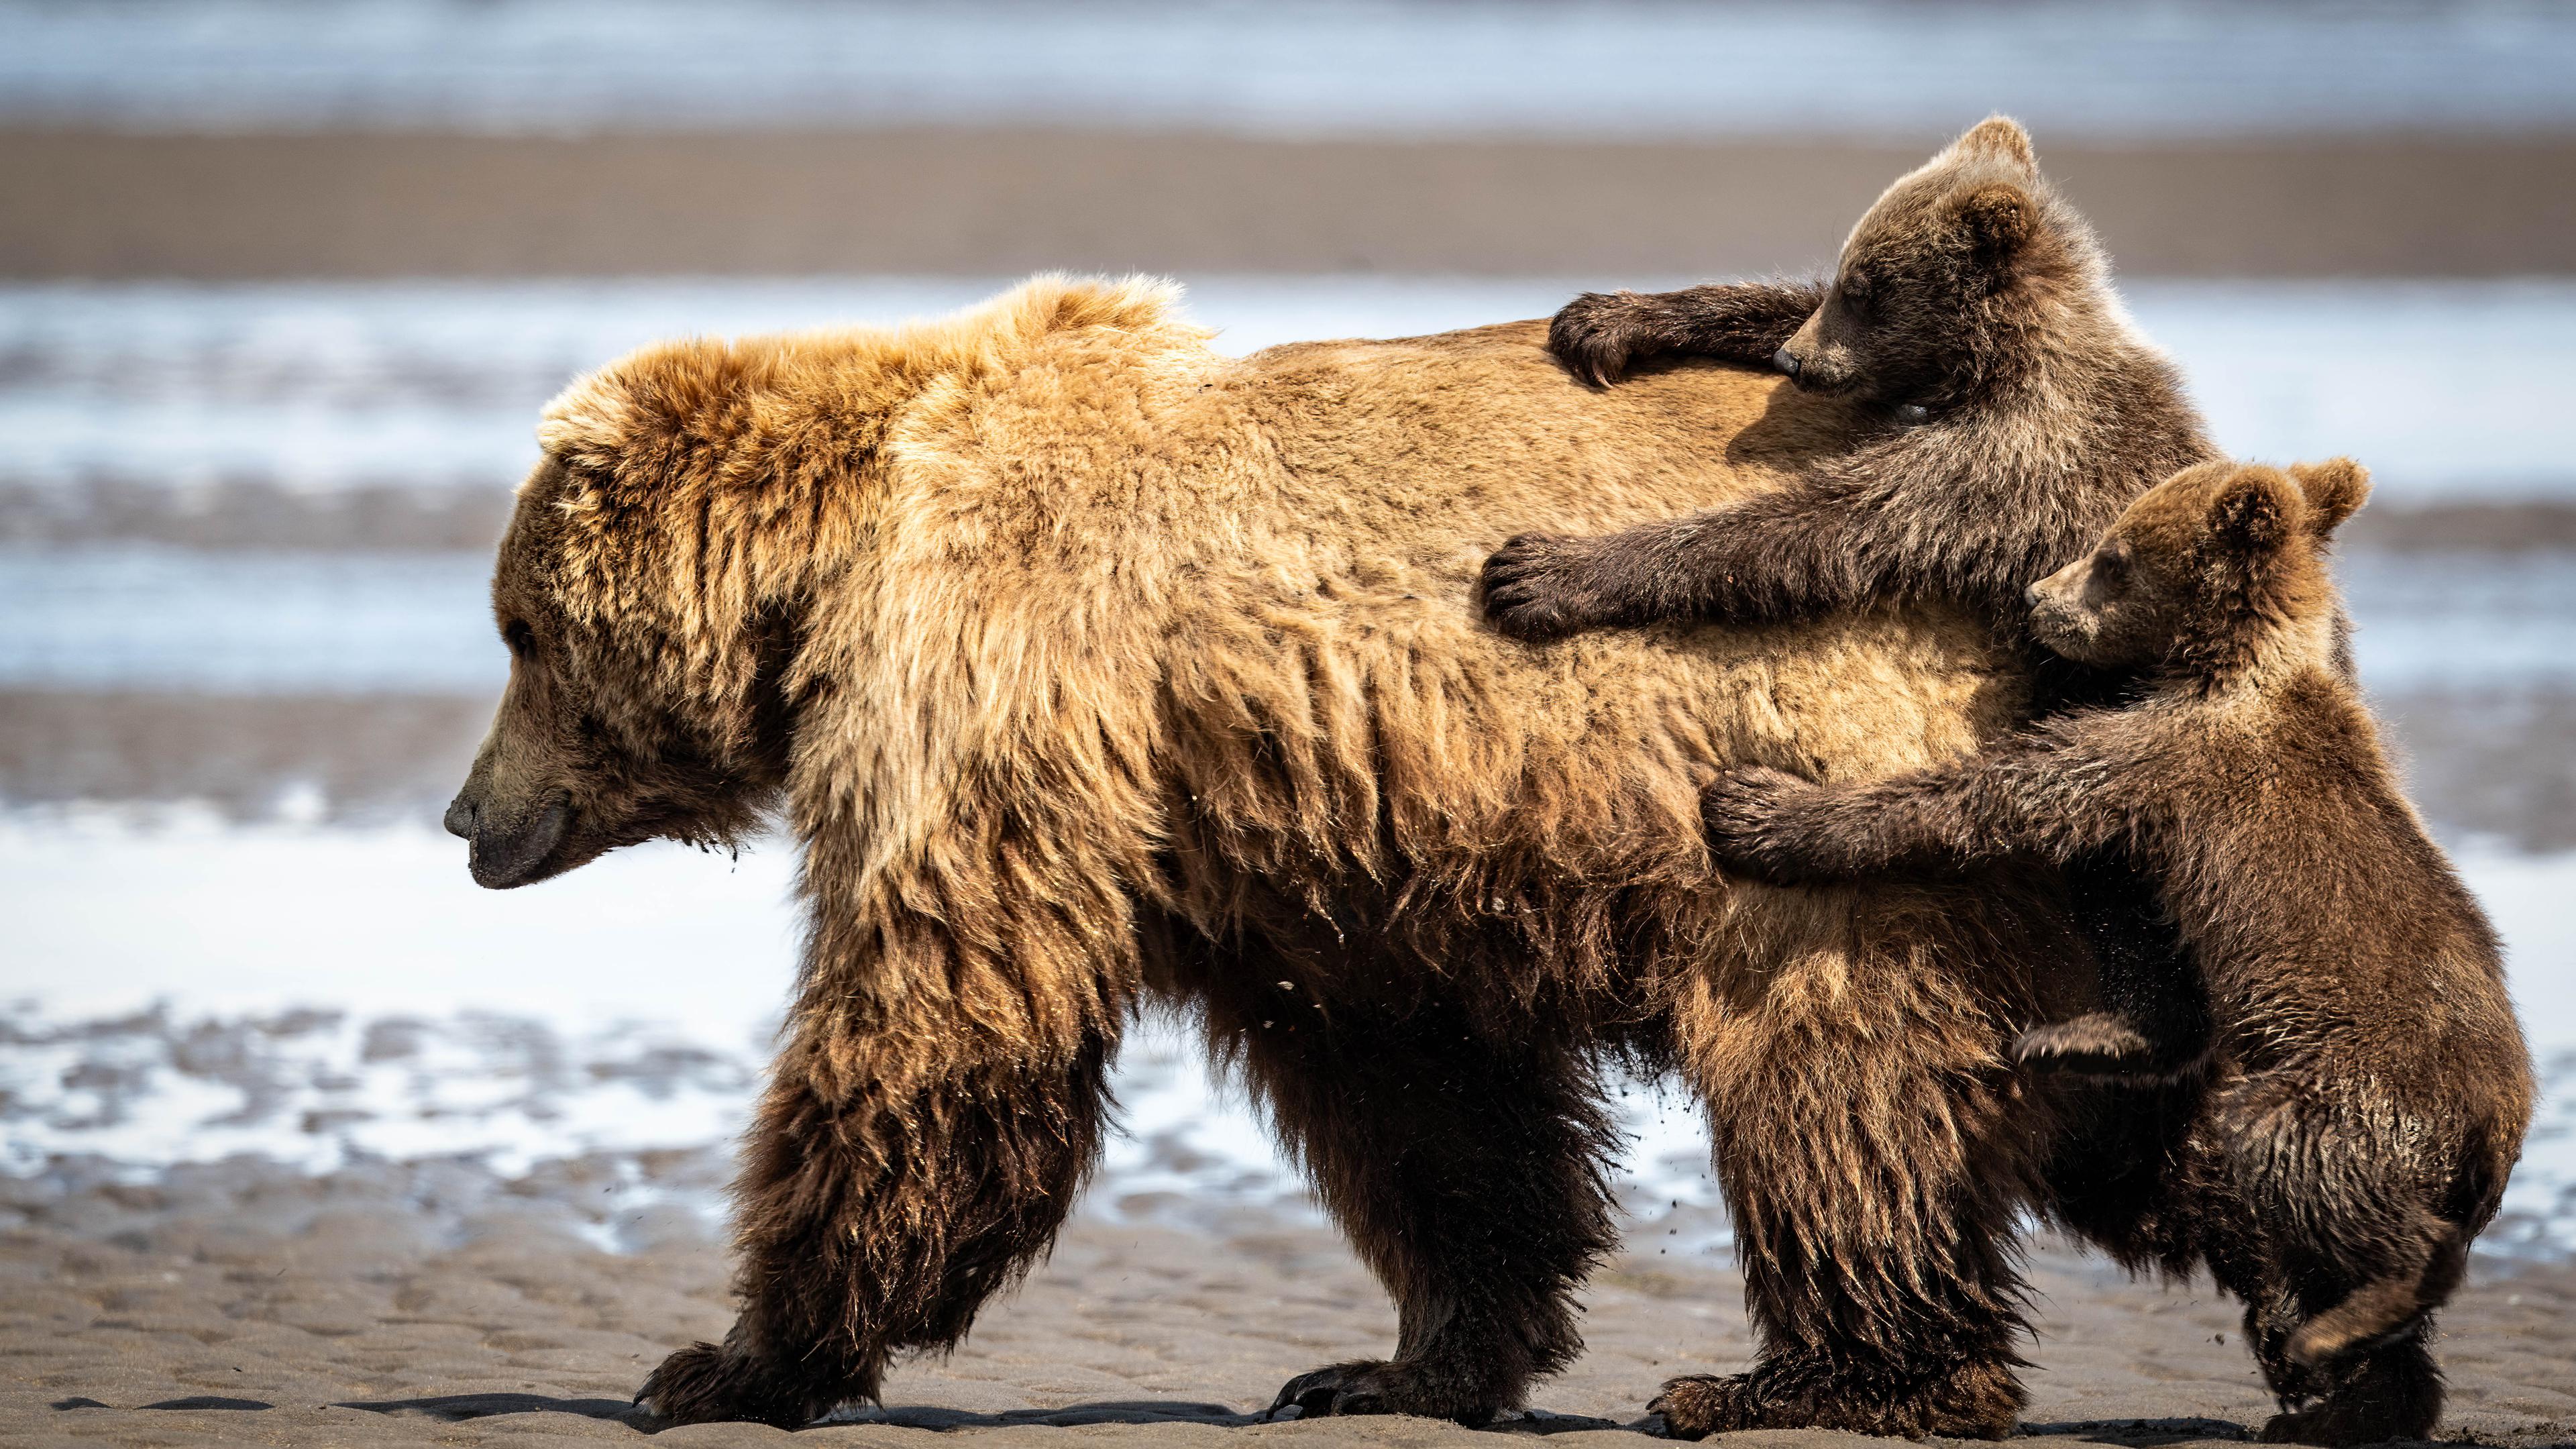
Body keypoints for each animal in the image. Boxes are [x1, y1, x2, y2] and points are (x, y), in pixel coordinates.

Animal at [448, 273, 2112, 1433]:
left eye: (517, 628)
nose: (467, 817)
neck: (843, 556)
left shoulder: (994, 685)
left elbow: (935, 1019)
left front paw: (726, 1361)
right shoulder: (1308, 860)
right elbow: (1426, 1098)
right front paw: (1402, 1362)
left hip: (1819, 782)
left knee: (1832, 1080)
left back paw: (1829, 1377)